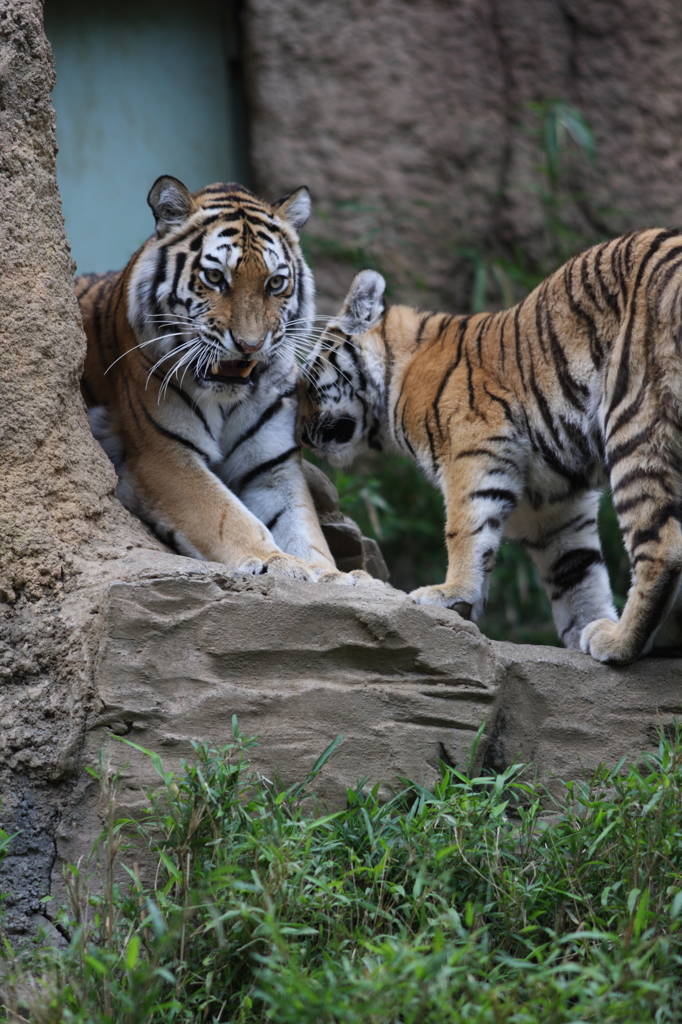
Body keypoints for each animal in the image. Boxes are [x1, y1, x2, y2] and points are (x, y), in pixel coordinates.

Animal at [76, 176, 364, 585]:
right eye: (214, 277)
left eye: (276, 283)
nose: (249, 345)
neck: (228, 399)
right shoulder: (163, 455)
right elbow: (227, 515)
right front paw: (277, 561)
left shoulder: (273, 468)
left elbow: (305, 529)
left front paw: (330, 574)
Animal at [301, 230, 679, 663]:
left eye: (308, 379)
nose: (301, 435)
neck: (399, 371)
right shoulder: (554, 505)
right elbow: (576, 575)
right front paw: (581, 636)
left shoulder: (474, 451)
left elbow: (464, 528)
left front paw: (449, 594)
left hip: (633, 417)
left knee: (663, 545)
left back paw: (621, 644)